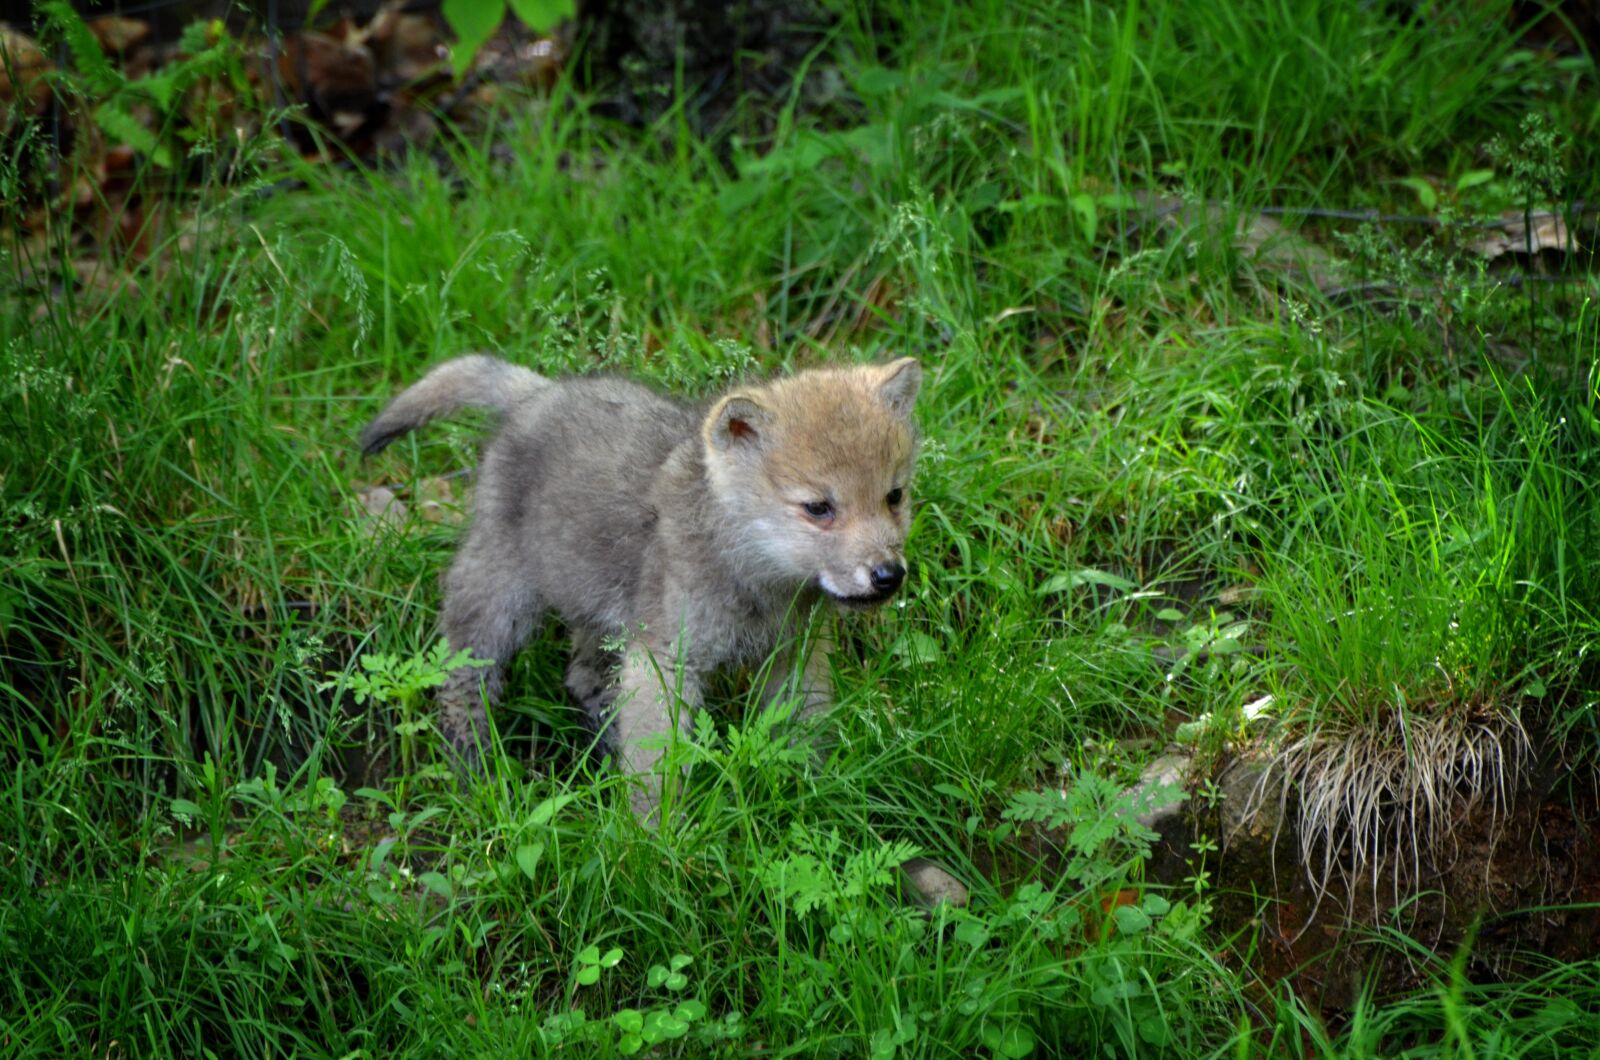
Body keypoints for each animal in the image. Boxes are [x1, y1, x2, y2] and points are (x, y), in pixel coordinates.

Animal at [361, 354, 922, 818]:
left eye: (894, 496)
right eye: (818, 507)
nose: (888, 575)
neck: (753, 576)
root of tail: (536, 394)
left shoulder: (794, 653)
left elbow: (802, 730)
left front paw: (811, 794)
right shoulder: (665, 659)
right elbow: (659, 766)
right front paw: (654, 839)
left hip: (597, 608)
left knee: (582, 678)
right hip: (501, 596)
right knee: (461, 679)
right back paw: (477, 768)